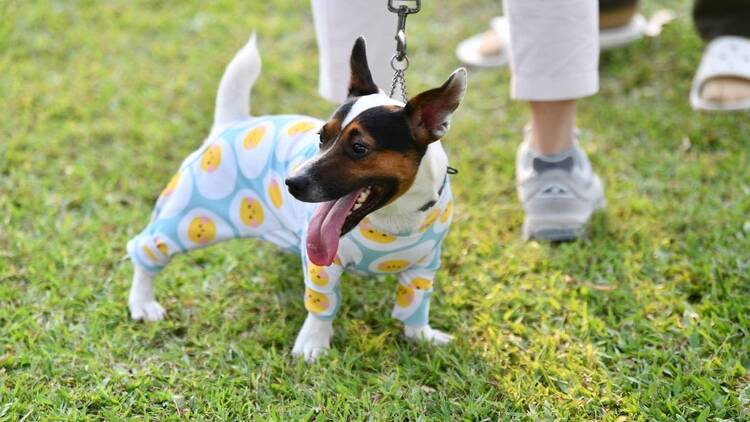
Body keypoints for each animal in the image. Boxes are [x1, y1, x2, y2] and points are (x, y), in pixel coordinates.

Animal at [126, 33, 468, 362]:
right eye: (321, 136)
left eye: (359, 148)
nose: (291, 182)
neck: (393, 219)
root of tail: (233, 123)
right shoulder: (323, 267)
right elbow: (321, 307)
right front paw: (313, 344)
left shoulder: (424, 268)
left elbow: (415, 305)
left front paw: (421, 335)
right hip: (190, 219)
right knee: (146, 249)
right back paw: (142, 302)